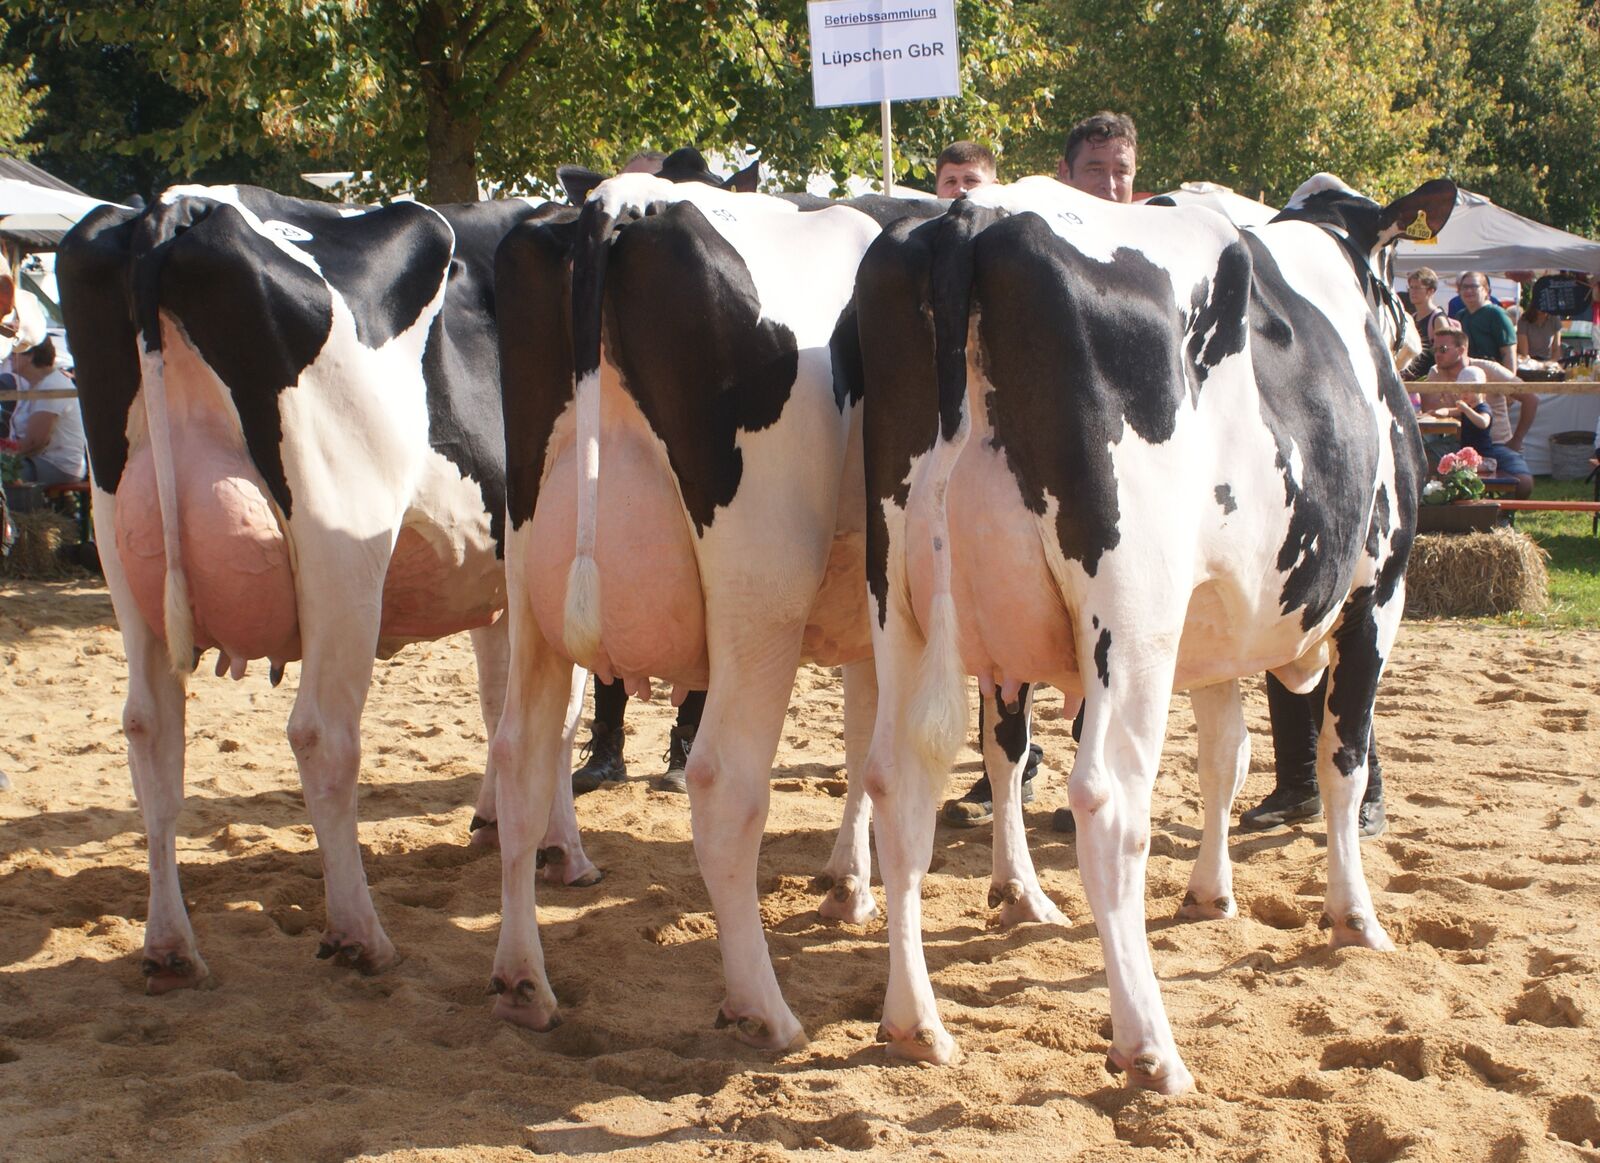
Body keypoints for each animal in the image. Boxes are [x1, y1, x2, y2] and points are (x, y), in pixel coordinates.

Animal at [58, 186, 601, 998]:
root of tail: (176, 208)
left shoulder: (497, 581)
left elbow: (500, 703)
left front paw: (498, 824)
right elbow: (554, 719)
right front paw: (563, 851)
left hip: (123, 553)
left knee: (152, 731)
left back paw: (171, 947)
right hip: (343, 550)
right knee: (322, 734)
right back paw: (359, 936)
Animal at [486, 163, 1030, 1049]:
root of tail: (625, 200)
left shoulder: (874, 610)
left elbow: (863, 743)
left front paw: (849, 884)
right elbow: (1000, 743)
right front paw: (1019, 889)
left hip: (532, 586)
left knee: (520, 765)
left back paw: (521, 979)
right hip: (759, 598)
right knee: (723, 781)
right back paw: (763, 1008)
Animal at [857, 175, 1459, 1094]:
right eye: (1397, 260)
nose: (1424, 350)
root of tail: (975, 217)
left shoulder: (1215, 627)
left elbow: (1226, 758)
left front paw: (1212, 892)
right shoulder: (1378, 591)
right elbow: (1342, 761)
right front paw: (1354, 916)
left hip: (900, 596)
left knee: (901, 779)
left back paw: (915, 1020)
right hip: (1133, 615)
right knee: (1107, 801)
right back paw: (1150, 1045)